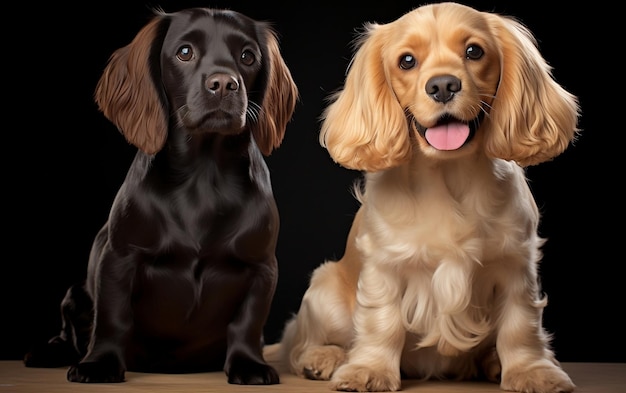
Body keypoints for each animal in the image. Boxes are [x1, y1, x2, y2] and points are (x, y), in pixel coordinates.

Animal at [23, 7, 298, 384]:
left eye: (247, 56)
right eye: (184, 52)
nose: (224, 84)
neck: (203, 176)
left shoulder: (261, 266)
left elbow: (248, 320)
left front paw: (248, 364)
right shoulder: (119, 258)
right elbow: (112, 317)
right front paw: (100, 363)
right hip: (74, 295)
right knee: (68, 333)